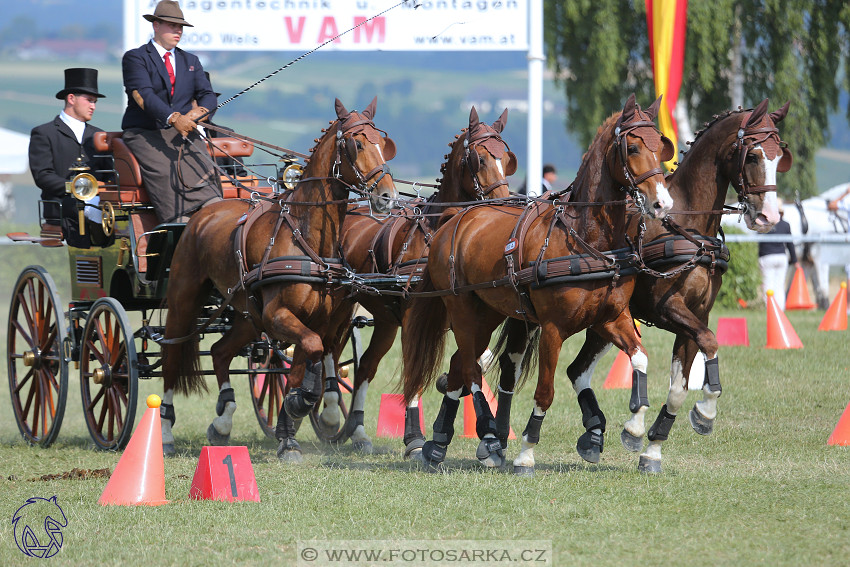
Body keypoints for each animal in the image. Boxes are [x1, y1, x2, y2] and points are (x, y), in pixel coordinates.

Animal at [160, 95, 398, 454]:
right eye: (357, 144)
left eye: (383, 144)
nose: (388, 197)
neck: (305, 235)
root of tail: (204, 212)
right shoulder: (279, 314)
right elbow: (311, 354)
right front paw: (306, 408)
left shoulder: (316, 321)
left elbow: (306, 362)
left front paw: (292, 431)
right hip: (184, 300)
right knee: (172, 355)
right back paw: (164, 432)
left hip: (248, 314)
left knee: (220, 351)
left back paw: (222, 422)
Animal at [282, 107, 512, 462]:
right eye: (480, 158)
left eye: (507, 158)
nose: (504, 203)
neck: (436, 234)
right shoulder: (413, 318)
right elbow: (413, 376)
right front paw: (415, 440)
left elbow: (478, 359)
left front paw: (446, 381)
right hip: (340, 310)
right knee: (331, 350)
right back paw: (332, 411)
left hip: (386, 321)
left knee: (365, 368)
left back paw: (359, 432)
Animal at [400, 94, 672, 474]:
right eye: (632, 147)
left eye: (660, 146)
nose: (662, 203)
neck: (586, 239)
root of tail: (454, 219)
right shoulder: (553, 329)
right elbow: (545, 392)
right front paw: (526, 452)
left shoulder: (611, 318)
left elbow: (640, 359)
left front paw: (633, 428)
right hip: (463, 310)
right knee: (470, 369)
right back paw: (487, 439)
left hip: (488, 313)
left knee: (459, 366)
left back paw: (439, 444)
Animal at [560, 100, 792, 472]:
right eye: (753, 156)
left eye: (779, 156)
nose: (768, 217)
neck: (687, 225)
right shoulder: (667, 309)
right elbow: (711, 342)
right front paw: (705, 412)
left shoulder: (694, 319)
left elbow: (679, 387)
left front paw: (652, 448)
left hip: (602, 322)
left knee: (576, 370)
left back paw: (593, 436)